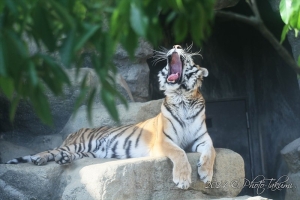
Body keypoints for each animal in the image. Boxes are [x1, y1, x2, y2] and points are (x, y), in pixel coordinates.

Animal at [5, 44, 216, 190]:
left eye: (188, 57)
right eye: (177, 48)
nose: (177, 46)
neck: (182, 99)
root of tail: (75, 132)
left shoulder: (202, 139)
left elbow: (211, 151)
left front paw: (206, 174)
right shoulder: (164, 140)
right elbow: (179, 153)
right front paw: (183, 179)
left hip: (90, 151)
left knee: (66, 154)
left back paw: (63, 159)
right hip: (81, 143)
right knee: (51, 150)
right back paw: (39, 159)